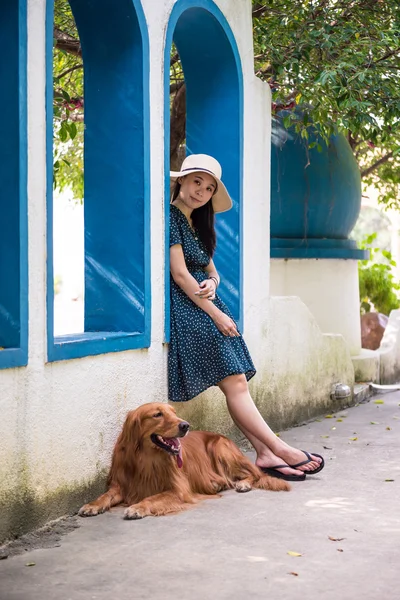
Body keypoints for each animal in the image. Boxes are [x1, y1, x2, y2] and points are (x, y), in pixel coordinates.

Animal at [79, 404, 290, 520]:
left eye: (173, 412)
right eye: (157, 414)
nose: (185, 425)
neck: (147, 458)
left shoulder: (178, 490)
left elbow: (152, 498)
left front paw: (137, 507)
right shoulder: (121, 485)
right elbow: (105, 496)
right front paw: (91, 505)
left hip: (220, 448)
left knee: (255, 474)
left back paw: (243, 484)